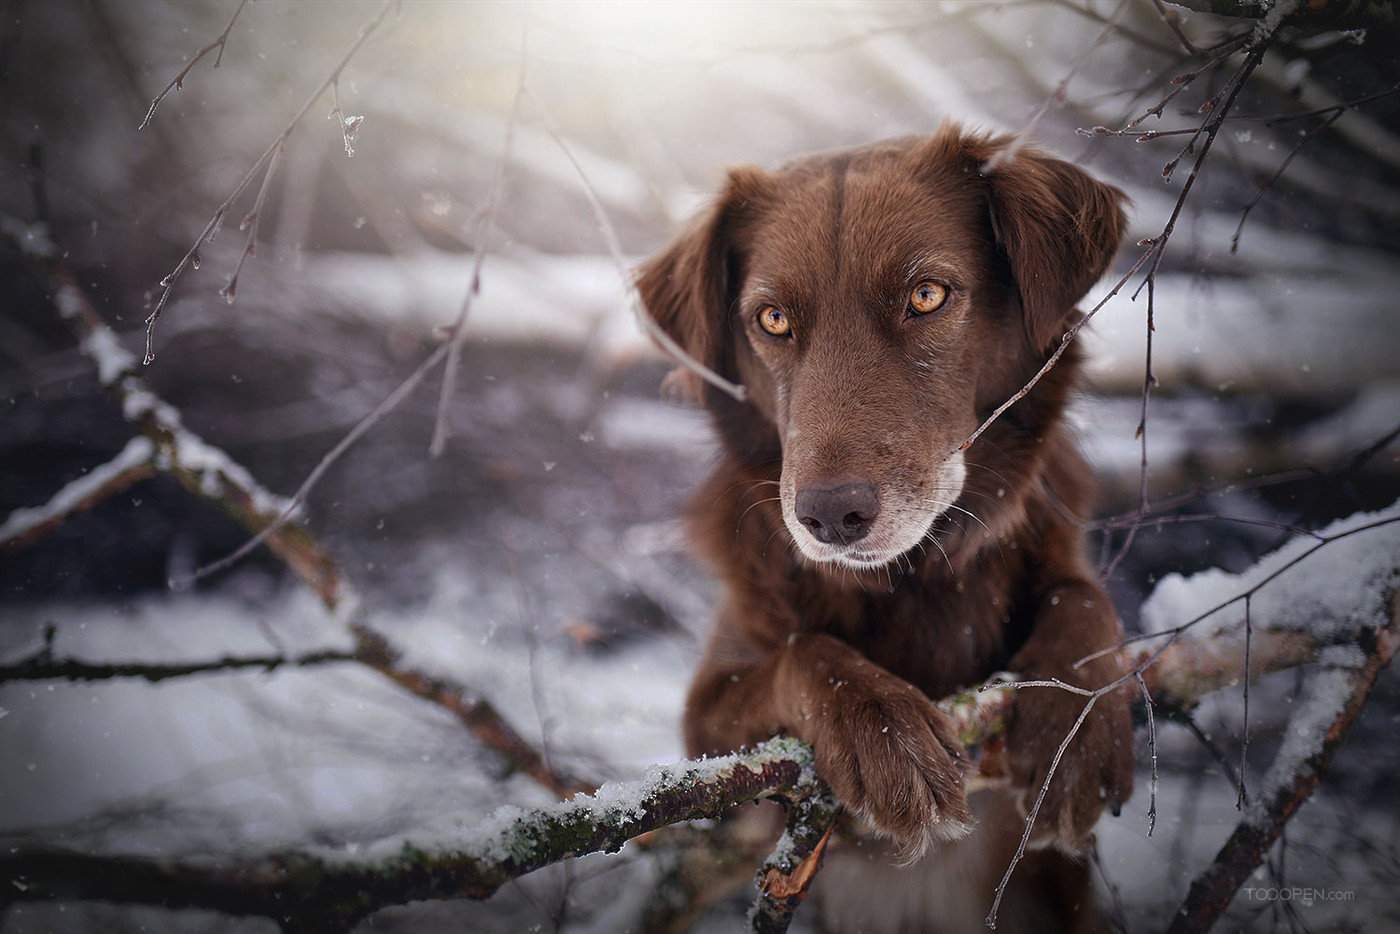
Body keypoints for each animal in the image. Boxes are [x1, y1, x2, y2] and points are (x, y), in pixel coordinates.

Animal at [641, 122, 1131, 929]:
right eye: (773, 319)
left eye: (926, 296)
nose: (829, 514)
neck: (916, 579)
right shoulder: (704, 730)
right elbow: (805, 651)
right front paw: (885, 733)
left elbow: (1084, 598)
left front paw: (1077, 727)